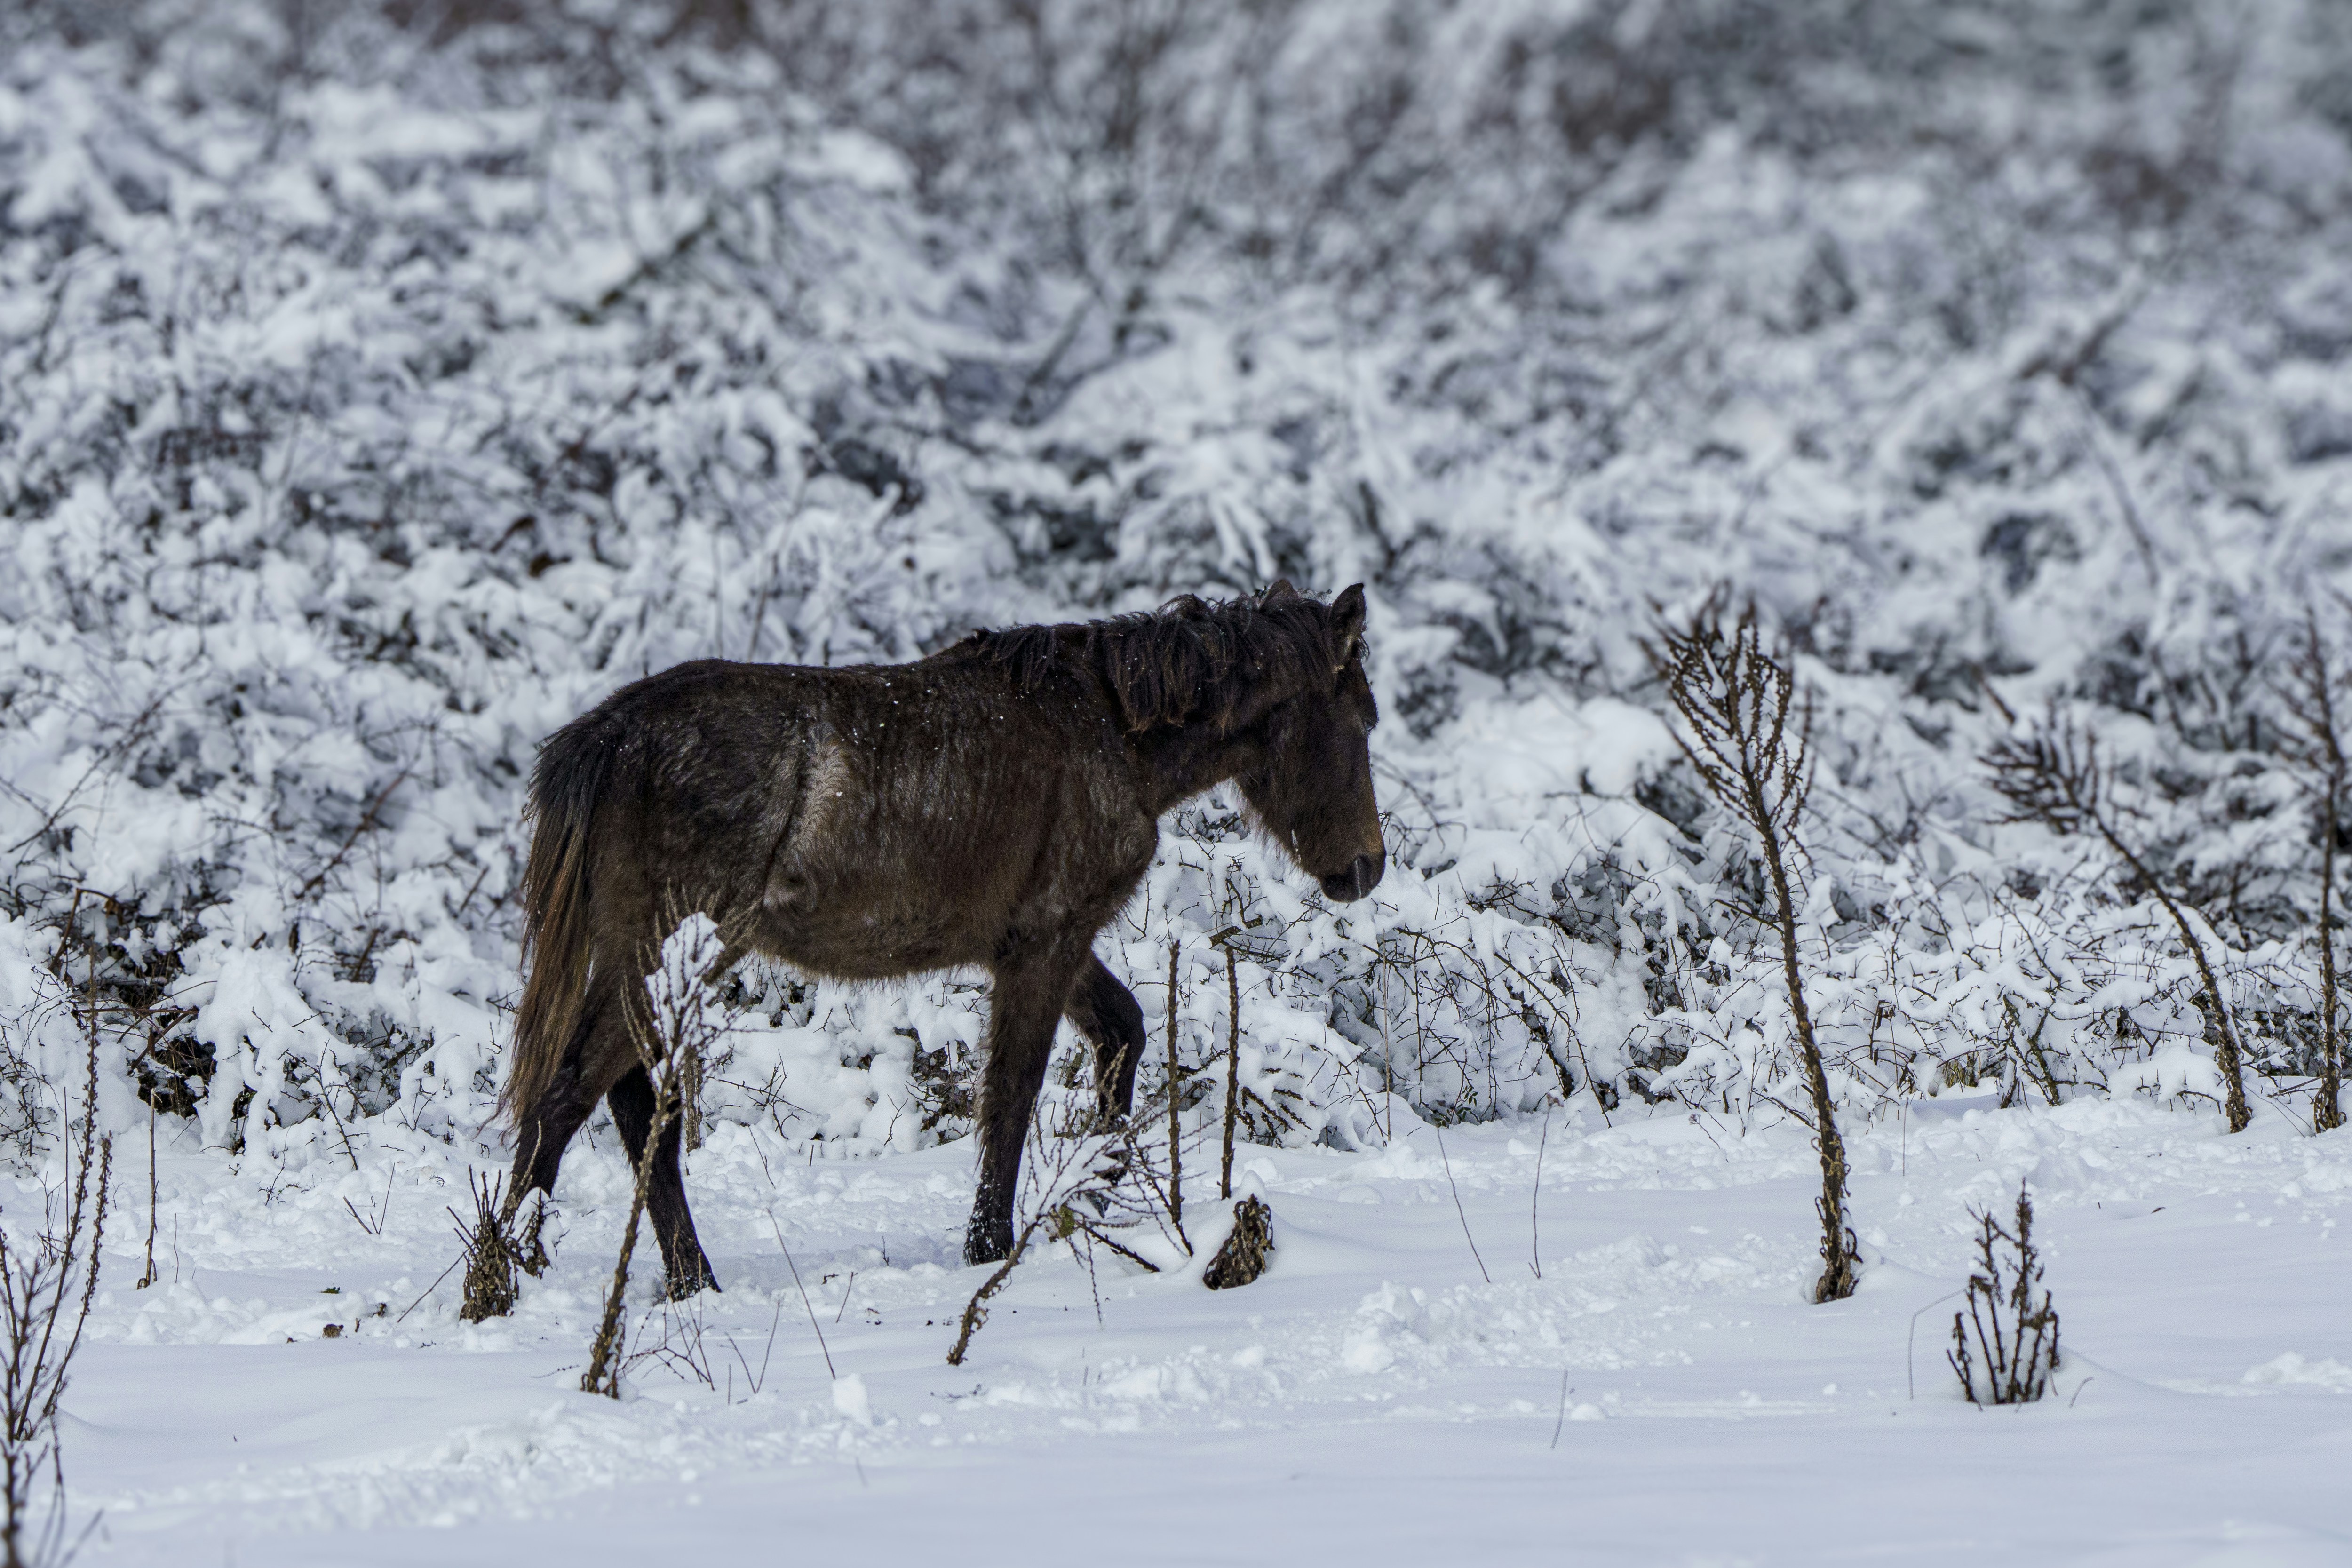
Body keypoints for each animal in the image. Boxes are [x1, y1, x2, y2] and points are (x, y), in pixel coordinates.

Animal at [497, 580, 1385, 1294]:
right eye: (1363, 718)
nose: (1366, 866)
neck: (1112, 729)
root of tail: (610, 737)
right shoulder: (1047, 944)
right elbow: (1013, 1096)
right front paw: (994, 1245)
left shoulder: (1044, 943)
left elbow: (1121, 1038)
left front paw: (1100, 1200)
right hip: (669, 954)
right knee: (563, 1101)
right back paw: (503, 1276)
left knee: (631, 1106)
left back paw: (688, 1281)